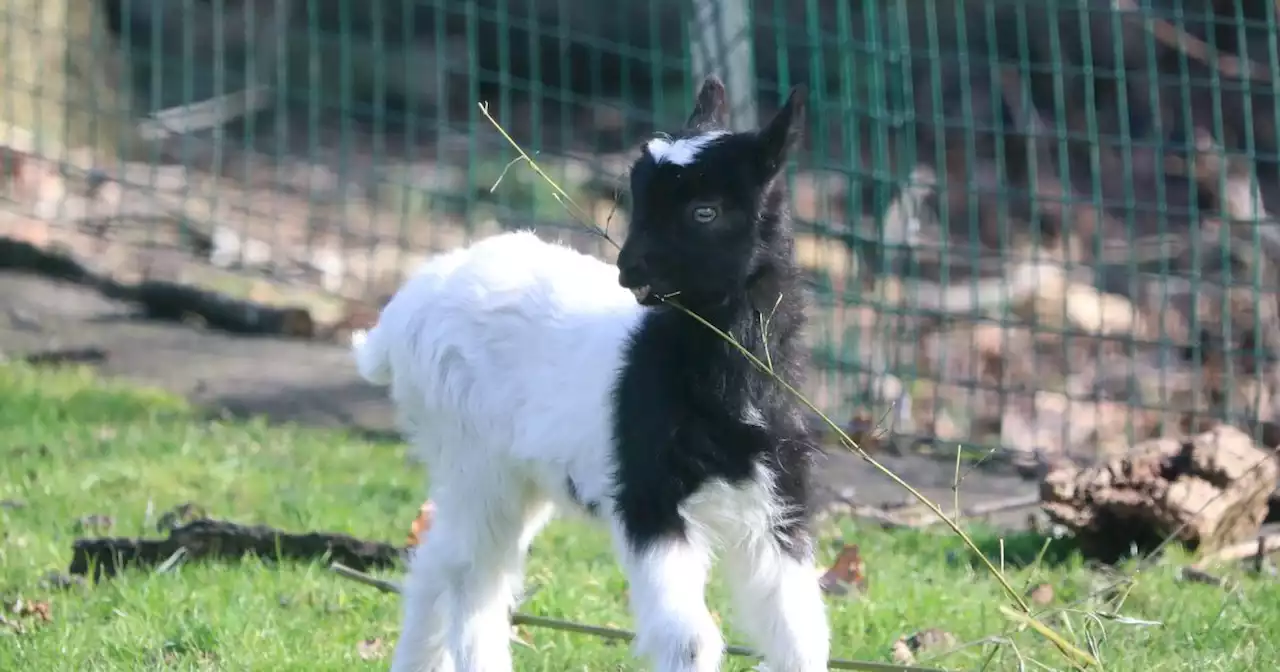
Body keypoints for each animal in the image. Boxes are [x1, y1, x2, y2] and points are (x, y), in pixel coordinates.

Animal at [353, 77, 829, 670]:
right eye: (639, 197)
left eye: (706, 211)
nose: (629, 268)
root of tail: (401, 313)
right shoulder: (648, 497)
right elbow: (689, 639)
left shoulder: (778, 505)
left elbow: (798, 633)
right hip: (472, 453)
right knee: (474, 575)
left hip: (501, 472)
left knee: (442, 559)